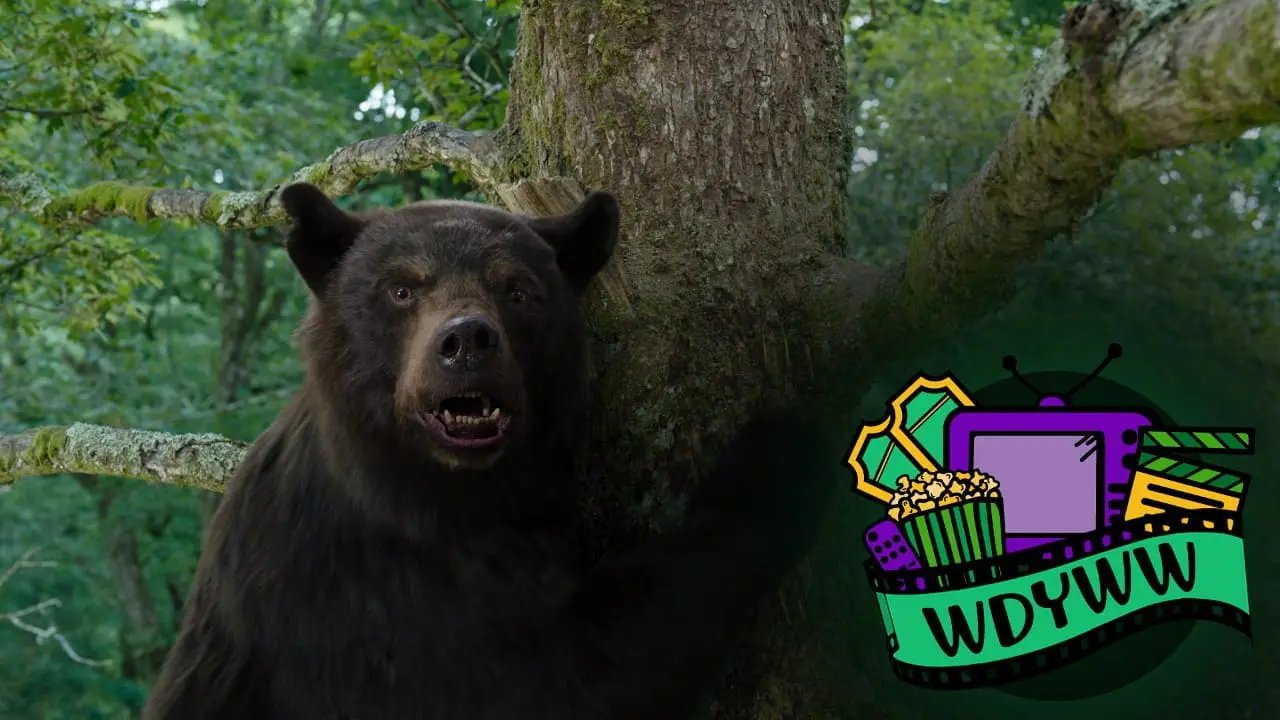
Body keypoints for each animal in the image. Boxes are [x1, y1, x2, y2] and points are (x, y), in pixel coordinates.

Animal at [143, 182, 837, 720]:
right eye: (402, 289)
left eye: (518, 289)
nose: (467, 341)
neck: (443, 496)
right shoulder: (361, 605)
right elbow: (560, 675)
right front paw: (777, 459)